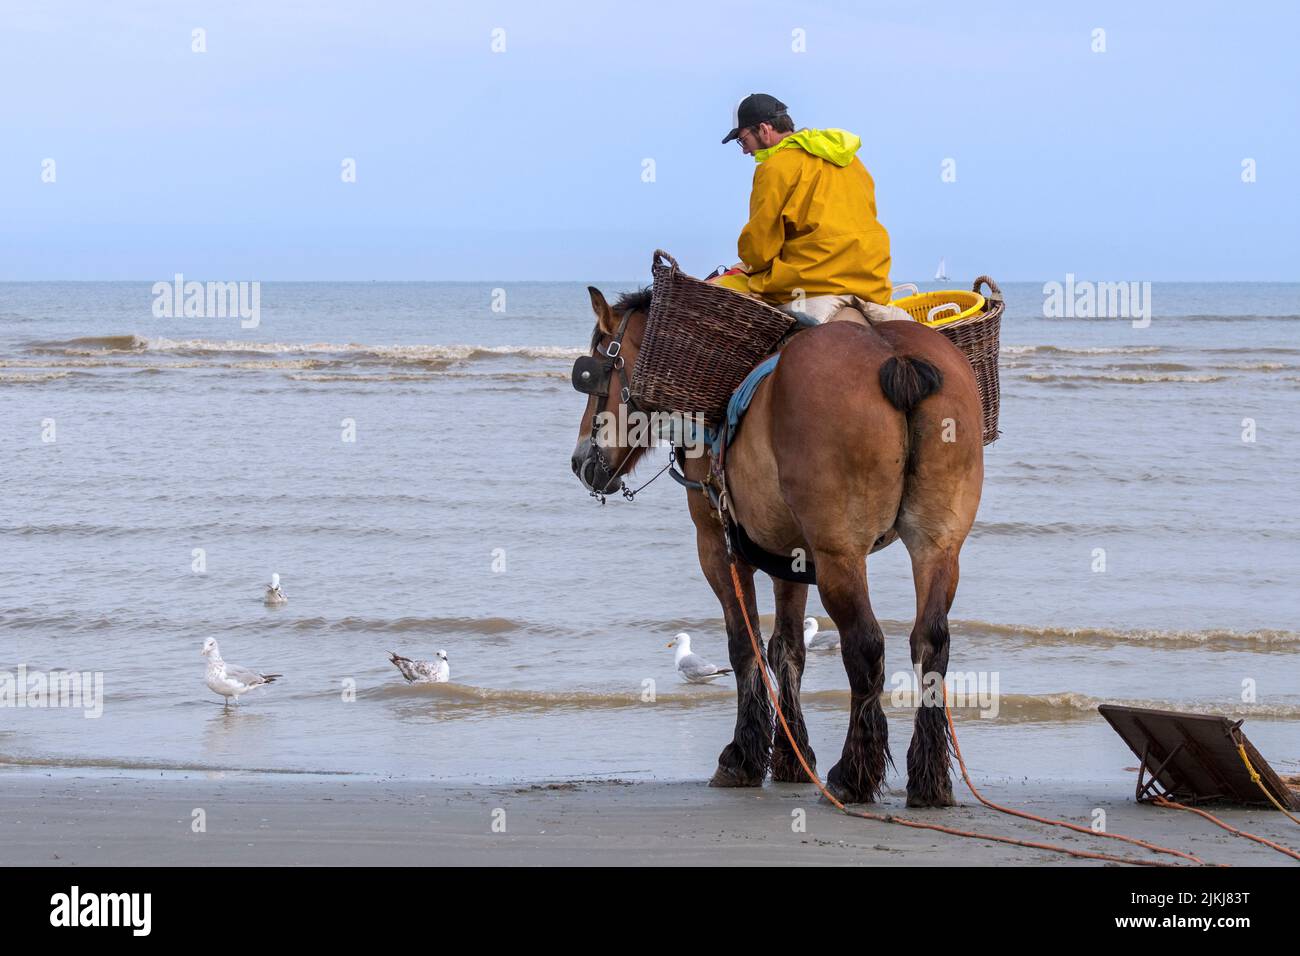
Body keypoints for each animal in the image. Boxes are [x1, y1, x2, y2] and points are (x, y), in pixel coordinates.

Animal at [569, 286, 984, 807]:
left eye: (595, 372)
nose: (579, 462)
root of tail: (894, 354)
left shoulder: (716, 545)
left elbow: (743, 645)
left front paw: (743, 756)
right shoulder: (792, 555)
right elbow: (787, 647)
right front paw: (791, 756)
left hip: (839, 554)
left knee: (865, 645)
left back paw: (852, 773)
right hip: (938, 547)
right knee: (931, 642)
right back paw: (928, 779)